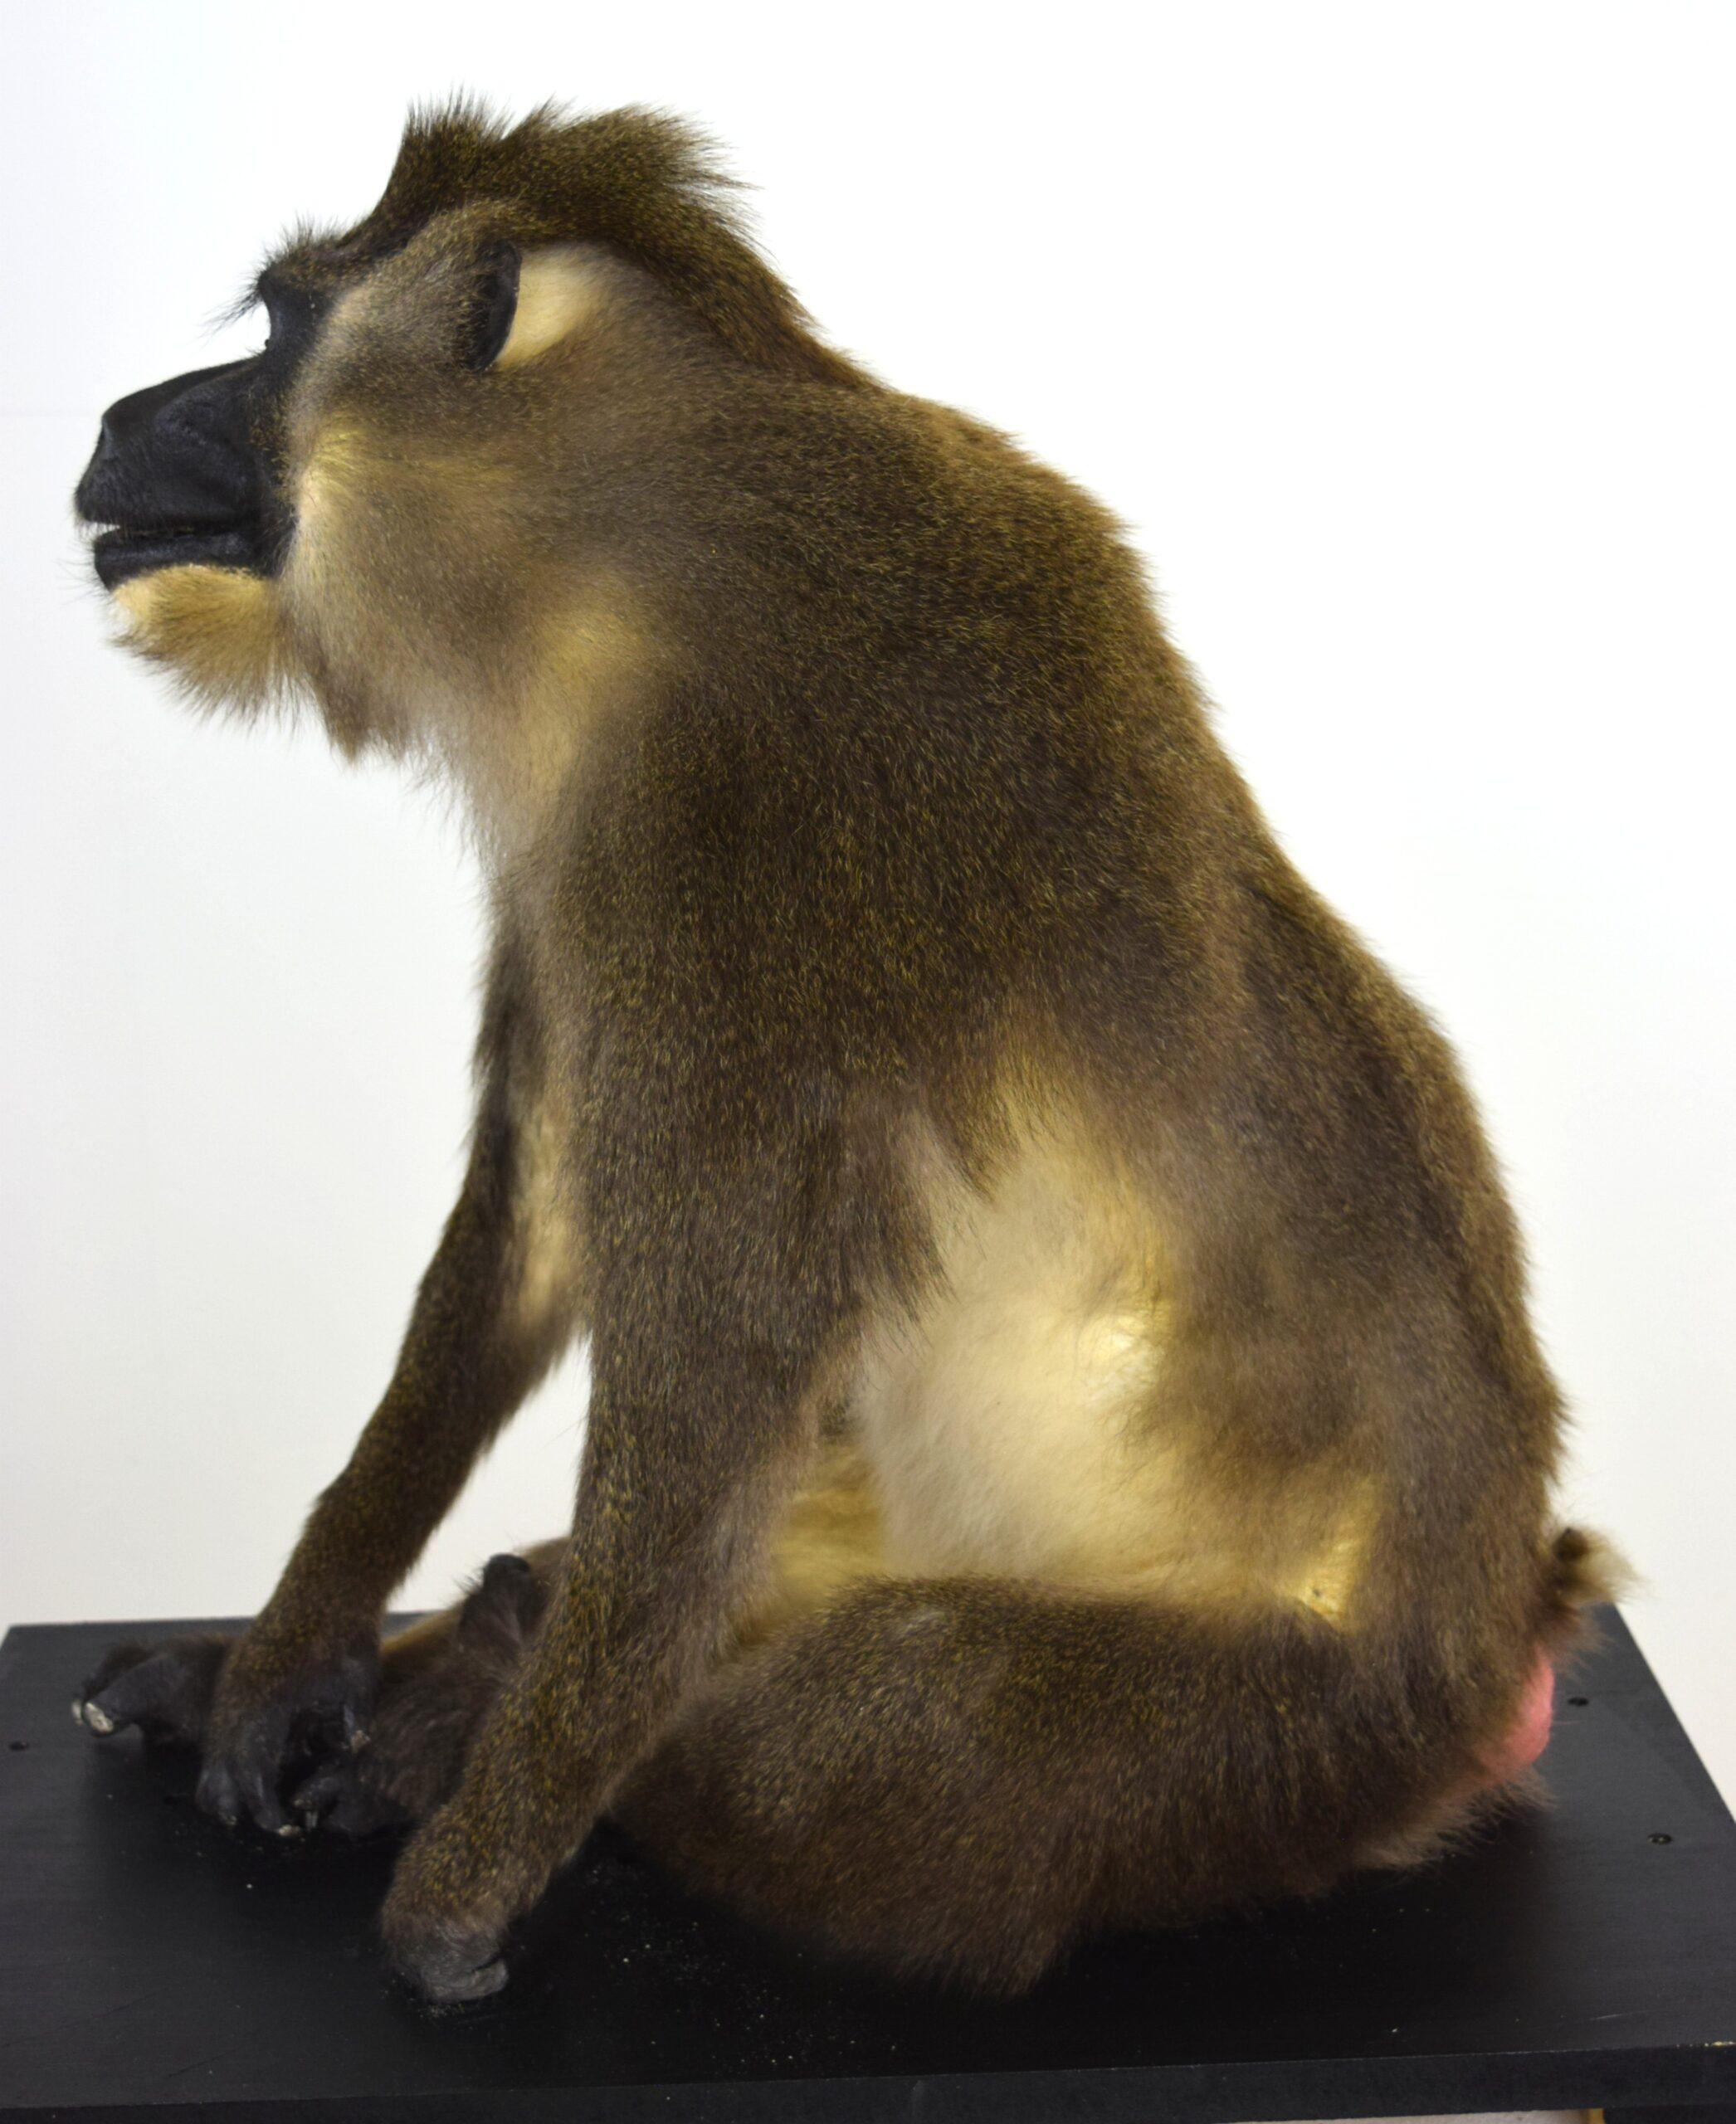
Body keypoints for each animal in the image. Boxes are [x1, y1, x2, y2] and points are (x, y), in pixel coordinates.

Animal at [68, 99, 1618, 2007]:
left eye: (282, 329)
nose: (125, 417)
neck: (626, 541)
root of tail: (1505, 1631)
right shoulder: (582, 869)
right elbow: (535, 1241)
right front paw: (287, 1656)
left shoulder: (738, 859)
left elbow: (705, 1390)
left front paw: (461, 1881)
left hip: (1279, 1731)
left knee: (847, 1739)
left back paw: (508, 1690)